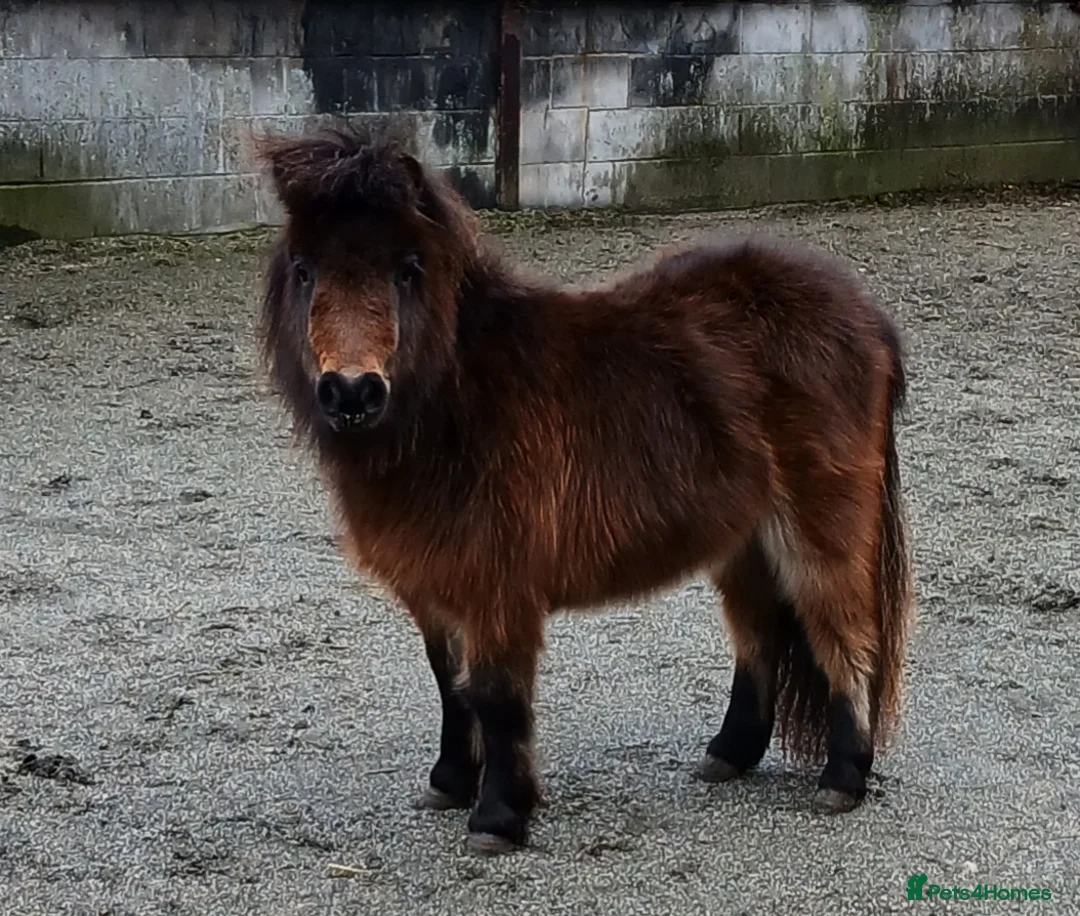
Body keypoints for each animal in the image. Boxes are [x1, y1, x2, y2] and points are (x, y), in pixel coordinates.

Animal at [254, 125, 915, 856]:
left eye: (407, 268)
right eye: (305, 269)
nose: (351, 393)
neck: (457, 403)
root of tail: (867, 317)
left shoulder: (497, 587)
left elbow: (494, 696)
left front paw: (497, 817)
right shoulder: (437, 585)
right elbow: (450, 687)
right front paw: (450, 783)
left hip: (820, 529)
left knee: (846, 639)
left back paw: (843, 779)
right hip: (744, 539)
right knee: (761, 635)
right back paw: (728, 754)